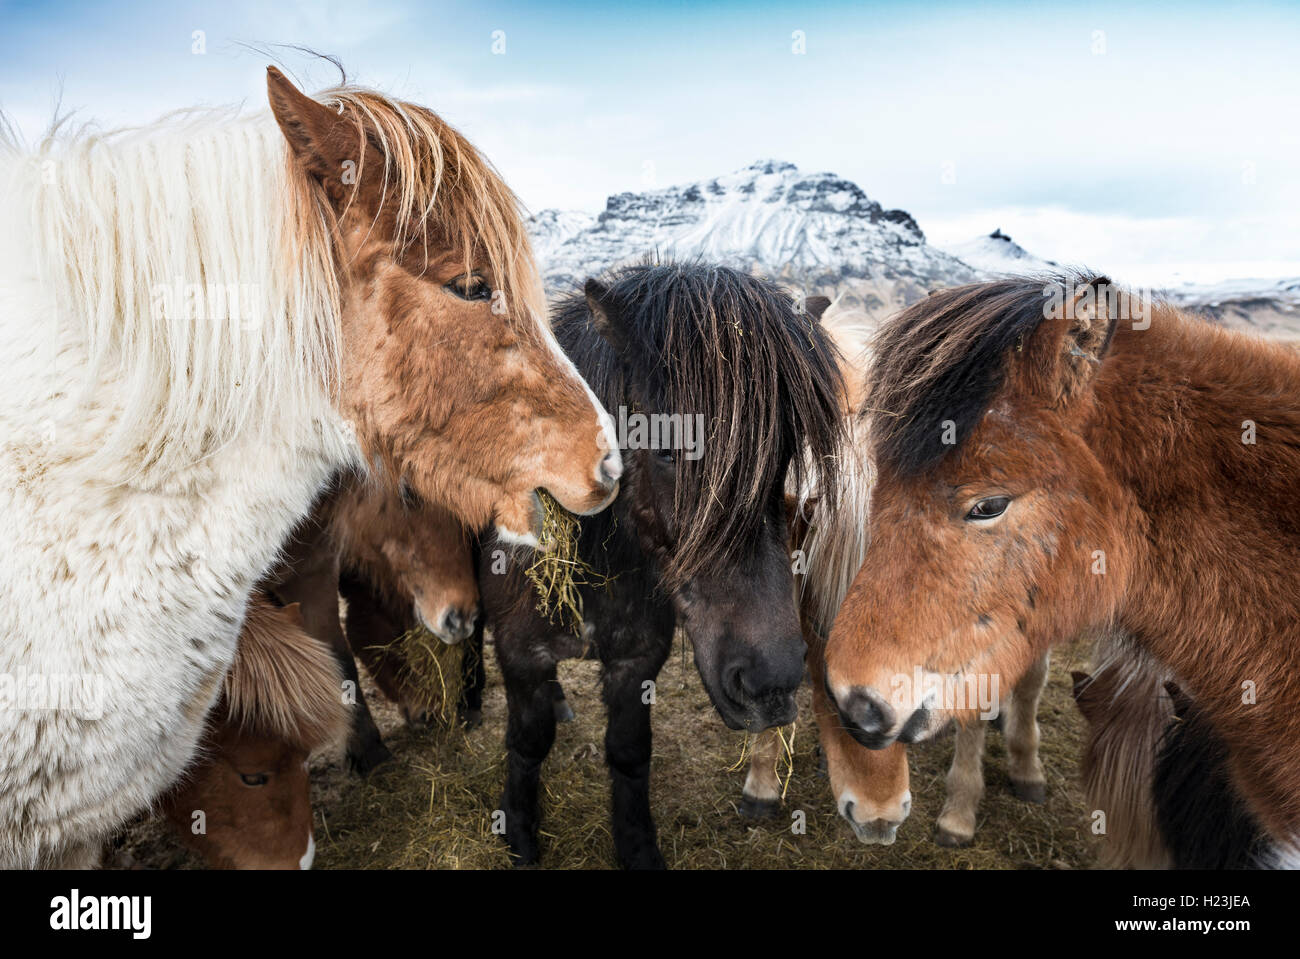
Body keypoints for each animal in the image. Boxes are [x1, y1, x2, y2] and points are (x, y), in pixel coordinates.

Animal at [478, 263, 842, 868]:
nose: (770, 683)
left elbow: (629, 752)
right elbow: (527, 743)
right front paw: (522, 835)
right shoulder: (519, 653)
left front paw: (637, 846)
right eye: (669, 450)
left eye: (786, 453)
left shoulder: (638, 659)